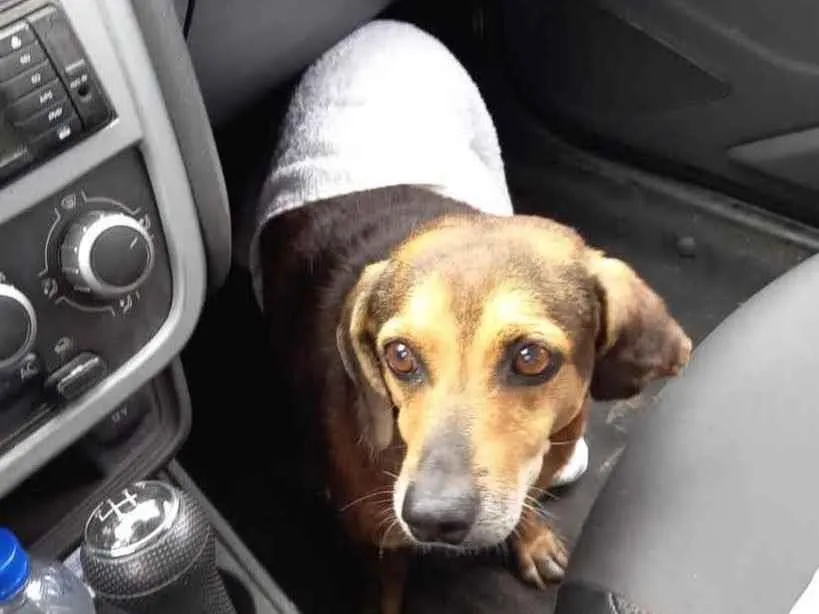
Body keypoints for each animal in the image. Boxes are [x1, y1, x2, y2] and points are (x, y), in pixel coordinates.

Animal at [250, 20, 692, 614]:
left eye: (531, 358)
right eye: (399, 355)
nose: (432, 519)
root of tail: (383, 25)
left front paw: (530, 539)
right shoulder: (377, 548)